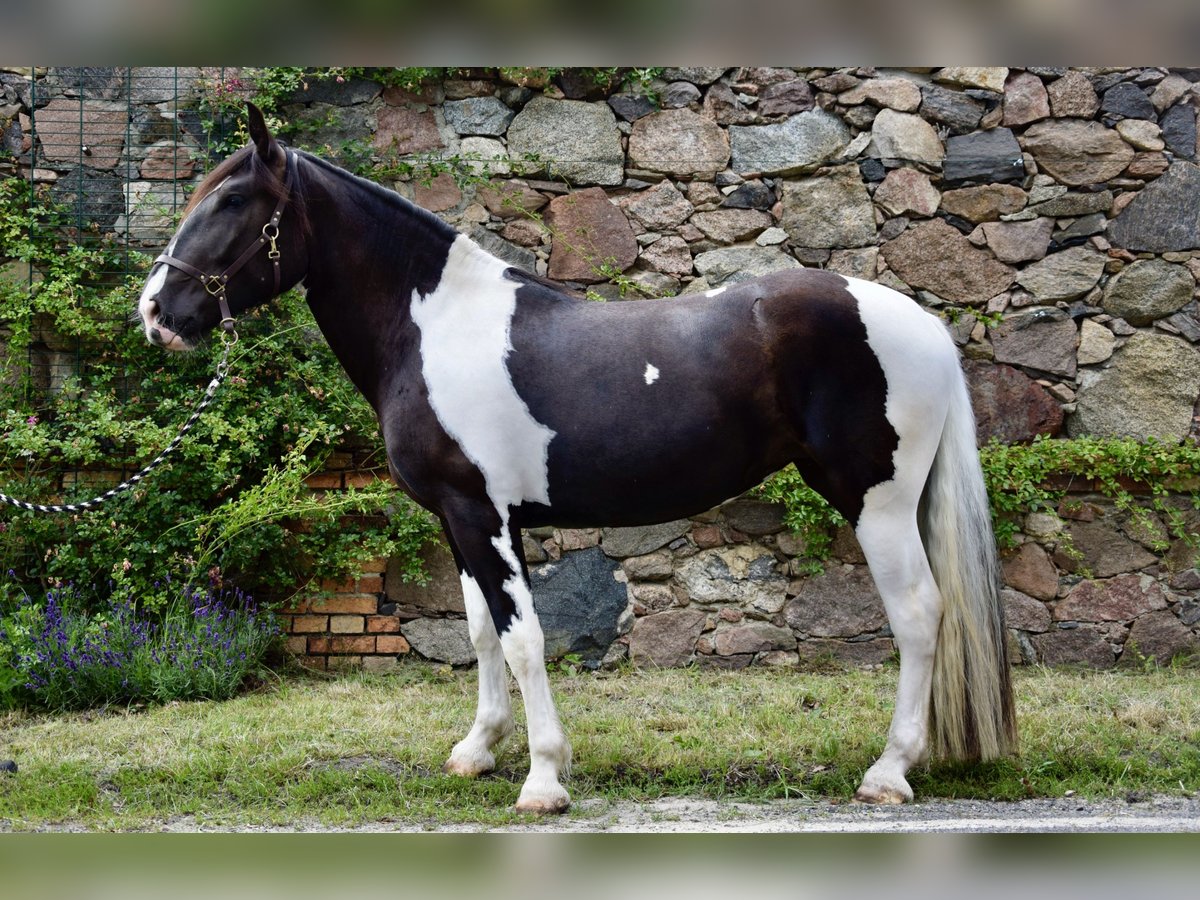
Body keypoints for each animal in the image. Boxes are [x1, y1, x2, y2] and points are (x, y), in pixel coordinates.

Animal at [136, 102, 1017, 816]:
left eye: (235, 201)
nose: (156, 314)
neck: (434, 327)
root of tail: (921, 323)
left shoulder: (479, 513)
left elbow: (523, 638)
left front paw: (543, 779)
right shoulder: (468, 518)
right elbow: (482, 632)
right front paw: (478, 751)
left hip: (878, 503)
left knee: (919, 615)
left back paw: (888, 771)